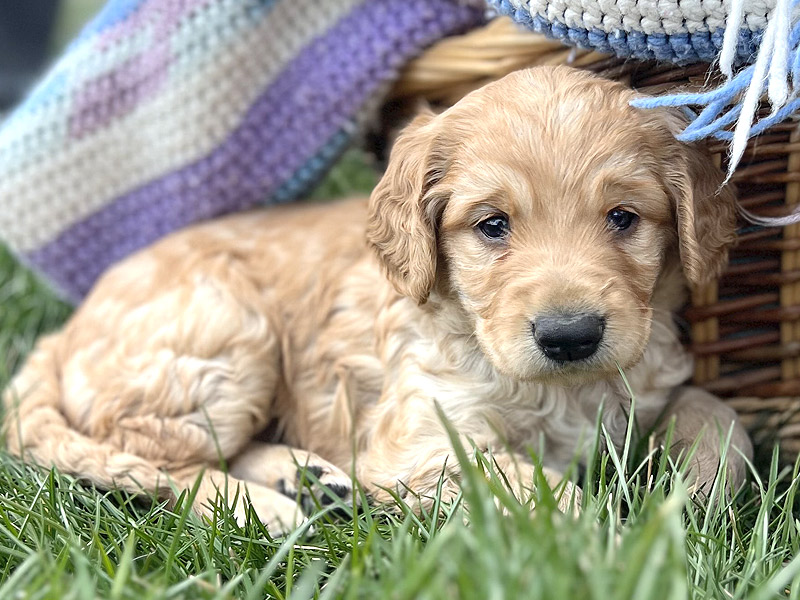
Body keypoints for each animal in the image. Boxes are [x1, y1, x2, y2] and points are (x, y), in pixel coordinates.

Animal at [3, 67, 752, 536]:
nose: (570, 336)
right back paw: (265, 510)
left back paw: (309, 478)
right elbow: (540, 491)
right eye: (493, 226)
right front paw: (611, 543)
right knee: (151, 457)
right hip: (225, 332)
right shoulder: (426, 441)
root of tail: (64, 333)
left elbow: (720, 418)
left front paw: (695, 491)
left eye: (623, 218)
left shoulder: (652, 380)